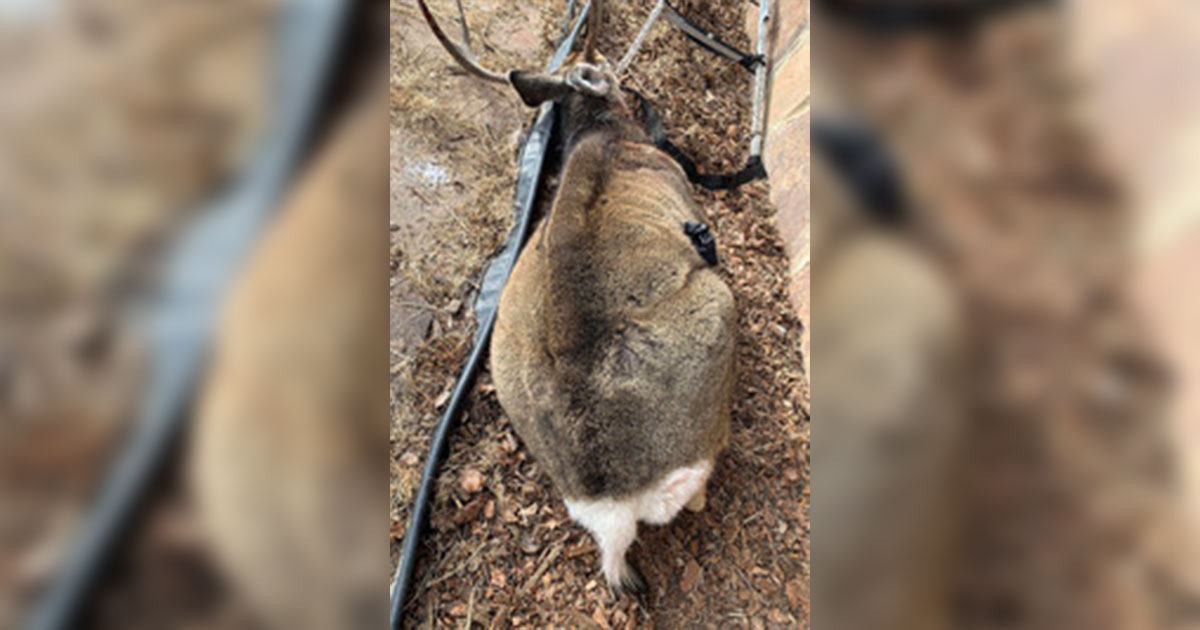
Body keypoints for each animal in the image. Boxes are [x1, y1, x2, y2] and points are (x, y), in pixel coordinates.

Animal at [417, 0, 738, 594]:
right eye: (606, 60)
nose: (623, 75)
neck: (611, 136)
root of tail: (611, 505)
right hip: (718, 308)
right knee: (699, 490)